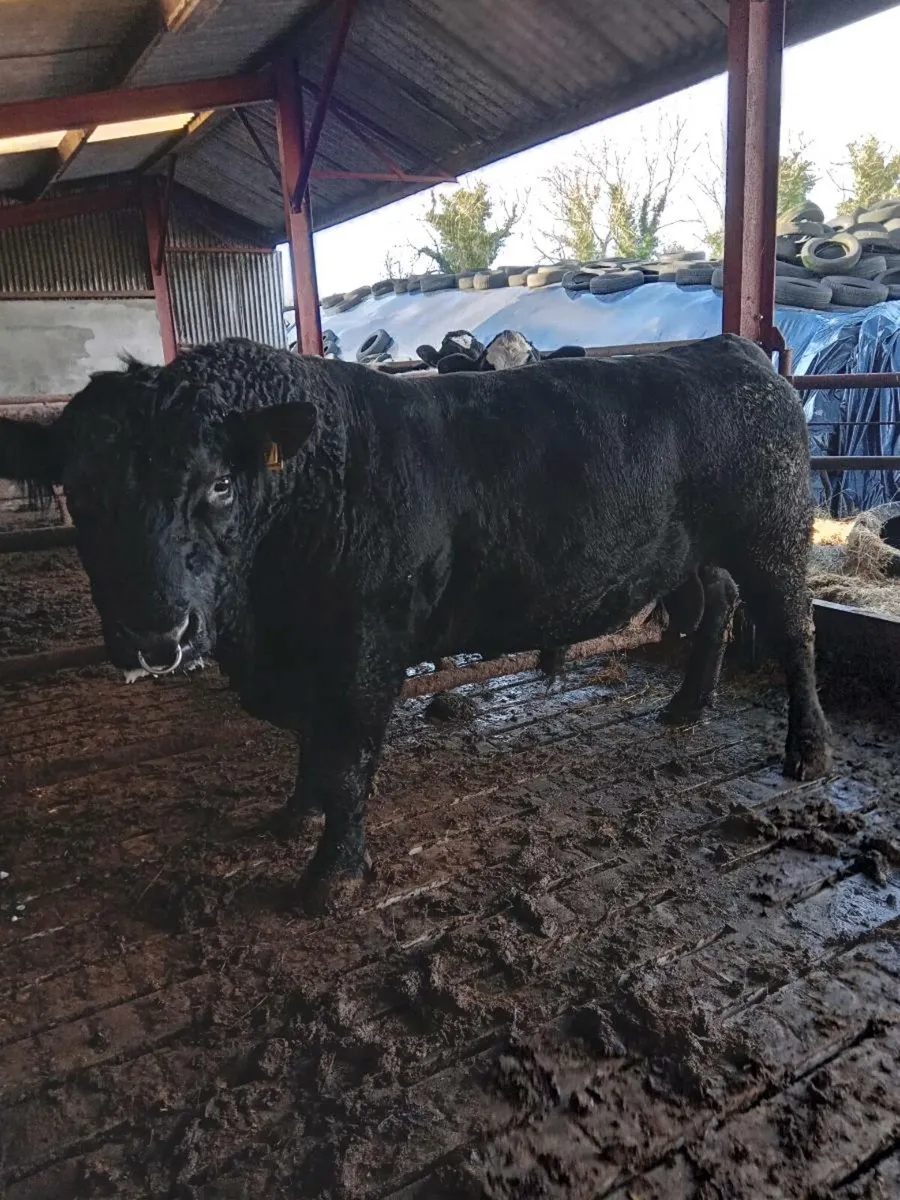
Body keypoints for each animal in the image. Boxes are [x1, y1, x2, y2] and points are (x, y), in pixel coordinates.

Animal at [0, 334, 830, 912]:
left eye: (221, 483)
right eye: (79, 493)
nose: (154, 636)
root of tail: (730, 349)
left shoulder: (365, 650)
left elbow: (346, 761)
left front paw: (331, 875)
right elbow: (311, 749)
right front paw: (294, 814)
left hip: (776, 534)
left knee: (795, 635)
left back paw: (807, 751)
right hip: (708, 549)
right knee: (719, 605)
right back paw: (689, 704)